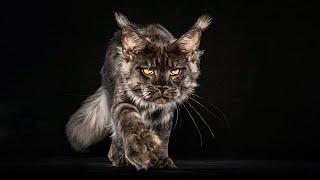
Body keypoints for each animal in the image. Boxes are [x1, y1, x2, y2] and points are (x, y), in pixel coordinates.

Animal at [65, 11, 211, 169]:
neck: (151, 106)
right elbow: (130, 121)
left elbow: (163, 135)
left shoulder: (166, 113)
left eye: (175, 71)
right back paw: (118, 157)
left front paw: (161, 159)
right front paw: (141, 148)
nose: (162, 86)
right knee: (116, 133)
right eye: (148, 71)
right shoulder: (122, 101)